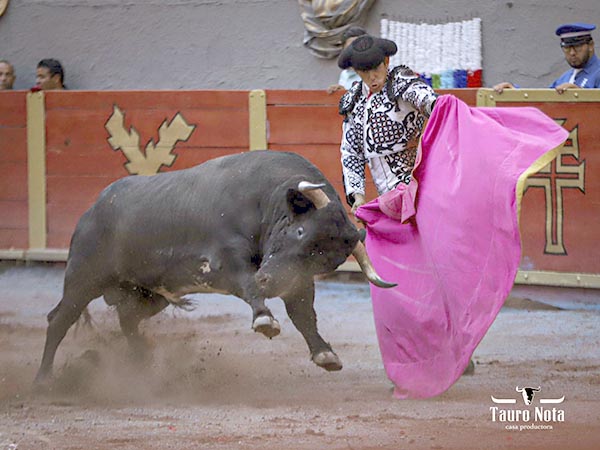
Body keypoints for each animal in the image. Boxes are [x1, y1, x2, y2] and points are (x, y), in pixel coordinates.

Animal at [34, 151, 394, 384]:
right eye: (301, 232)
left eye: (326, 260)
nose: (269, 281)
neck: (266, 200)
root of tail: (93, 208)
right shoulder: (225, 262)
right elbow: (249, 285)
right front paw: (264, 320)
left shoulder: (297, 280)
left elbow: (303, 314)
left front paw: (324, 354)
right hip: (83, 278)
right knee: (59, 319)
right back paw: (44, 378)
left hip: (150, 294)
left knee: (127, 319)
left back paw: (141, 365)